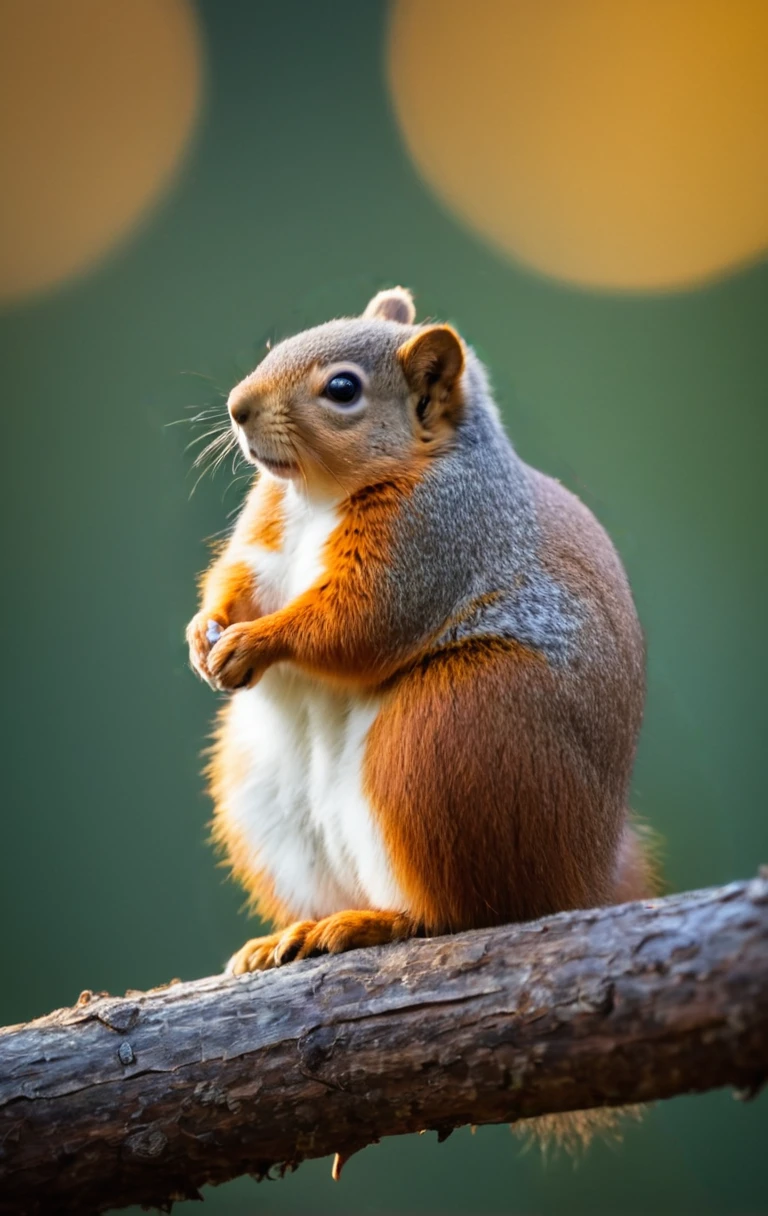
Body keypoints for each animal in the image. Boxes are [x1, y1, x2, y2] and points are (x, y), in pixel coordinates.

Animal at [185, 284, 656, 977]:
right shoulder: (266, 535)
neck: (318, 495)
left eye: (343, 389)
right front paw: (205, 630)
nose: (237, 409)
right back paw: (293, 935)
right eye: (280, 345)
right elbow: (238, 577)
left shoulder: (430, 539)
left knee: (460, 914)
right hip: (263, 791)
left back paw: (378, 923)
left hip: (451, 735)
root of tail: (584, 880)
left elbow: (352, 623)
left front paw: (255, 641)